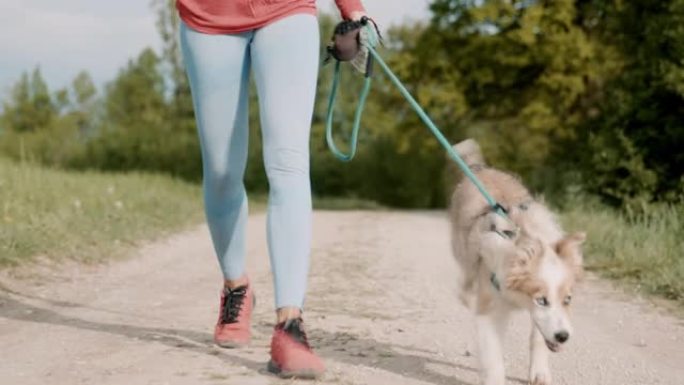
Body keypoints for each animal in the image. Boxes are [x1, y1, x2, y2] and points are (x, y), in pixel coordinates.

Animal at [448, 140, 588, 384]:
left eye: (568, 299)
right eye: (541, 300)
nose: (563, 337)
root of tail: (480, 168)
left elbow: (538, 338)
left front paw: (540, 373)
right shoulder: (489, 309)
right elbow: (493, 356)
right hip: (462, 248)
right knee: (466, 275)